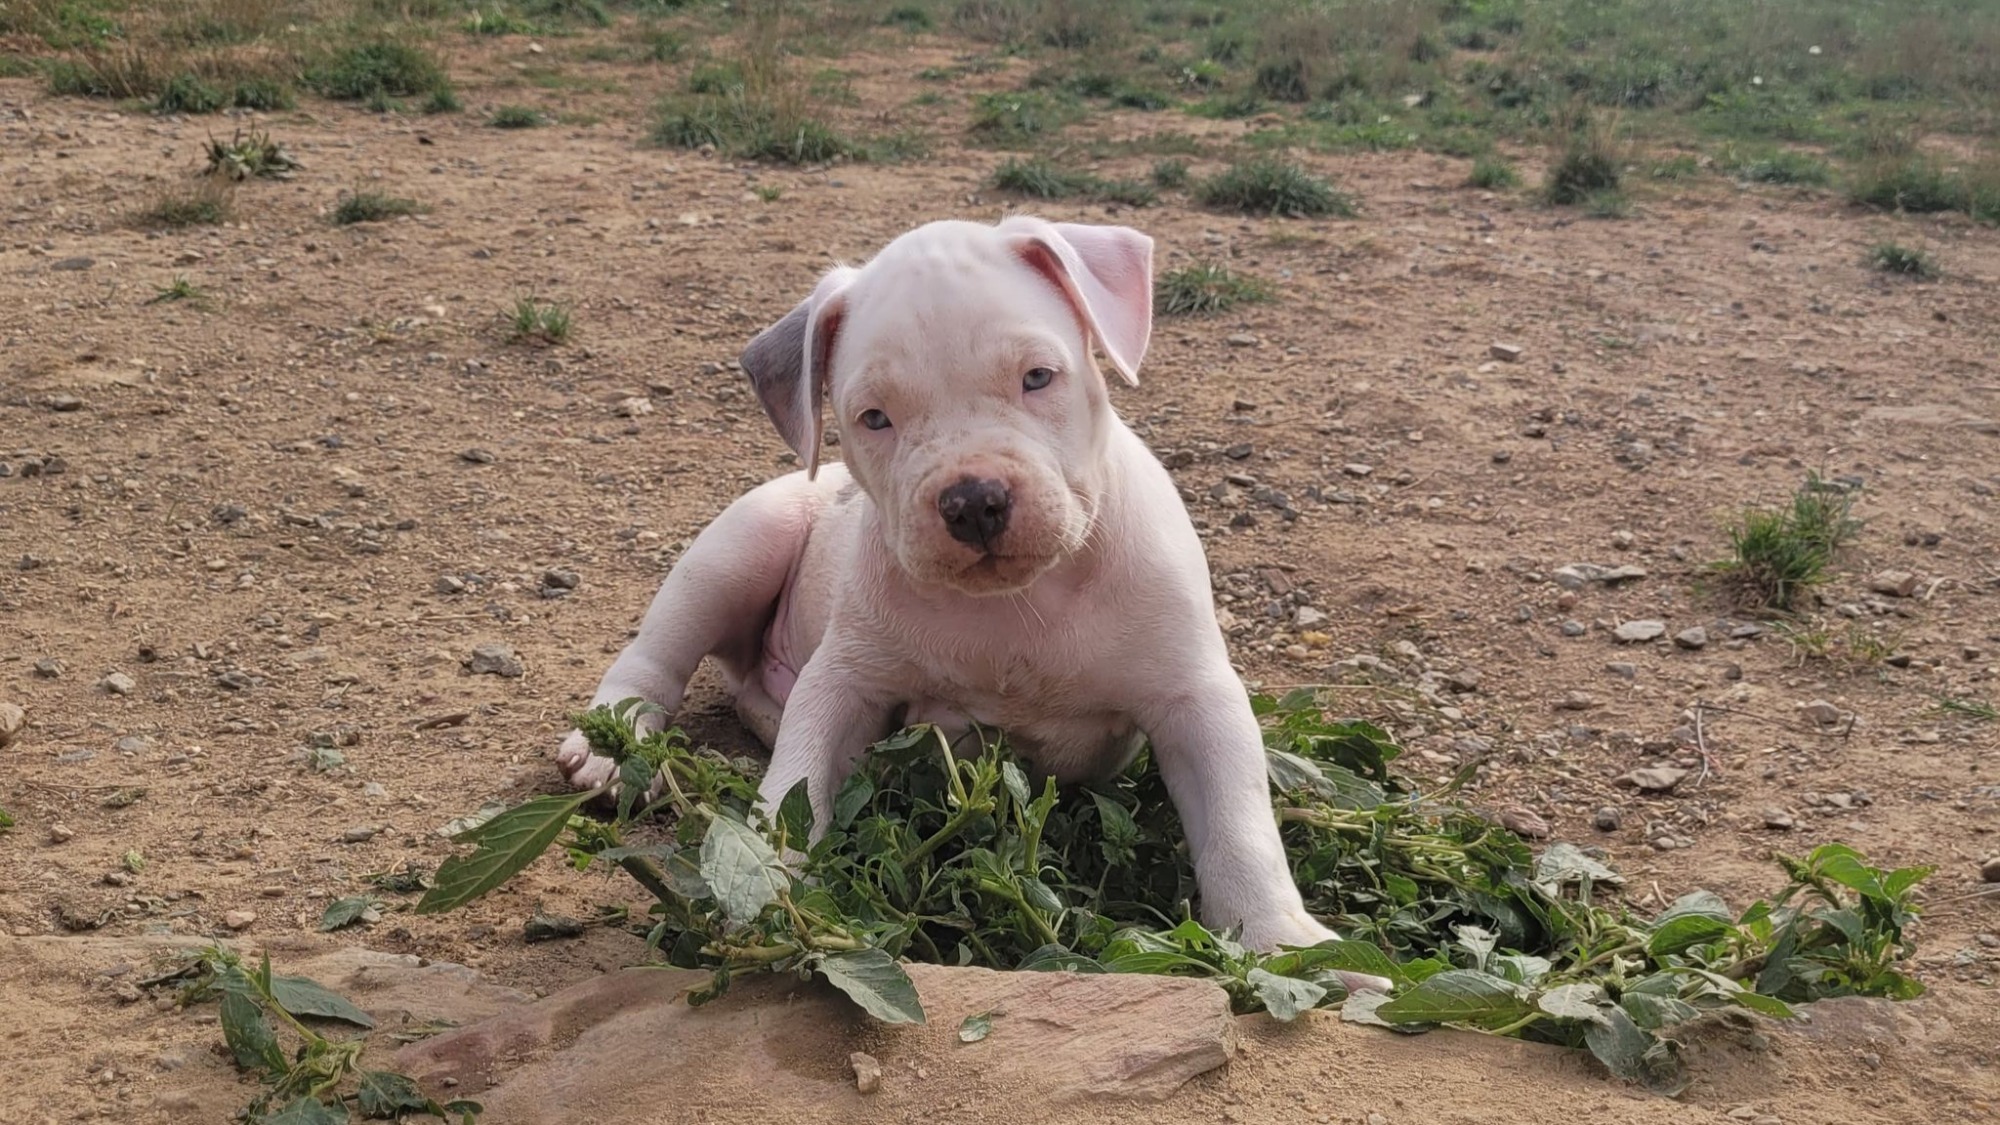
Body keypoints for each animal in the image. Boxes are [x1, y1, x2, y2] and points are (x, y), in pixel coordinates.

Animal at [556, 212, 1384, 980]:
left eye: (1038, 376)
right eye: (875, 417)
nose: (973, 500)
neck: (1021, 598)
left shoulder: (1196, 696)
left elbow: (1240, 826)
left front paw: (1293, 947)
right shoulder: (844, 679)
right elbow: (794, 785)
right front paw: (765, 897)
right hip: (740, 543)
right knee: (659, 652)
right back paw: (611, 743)